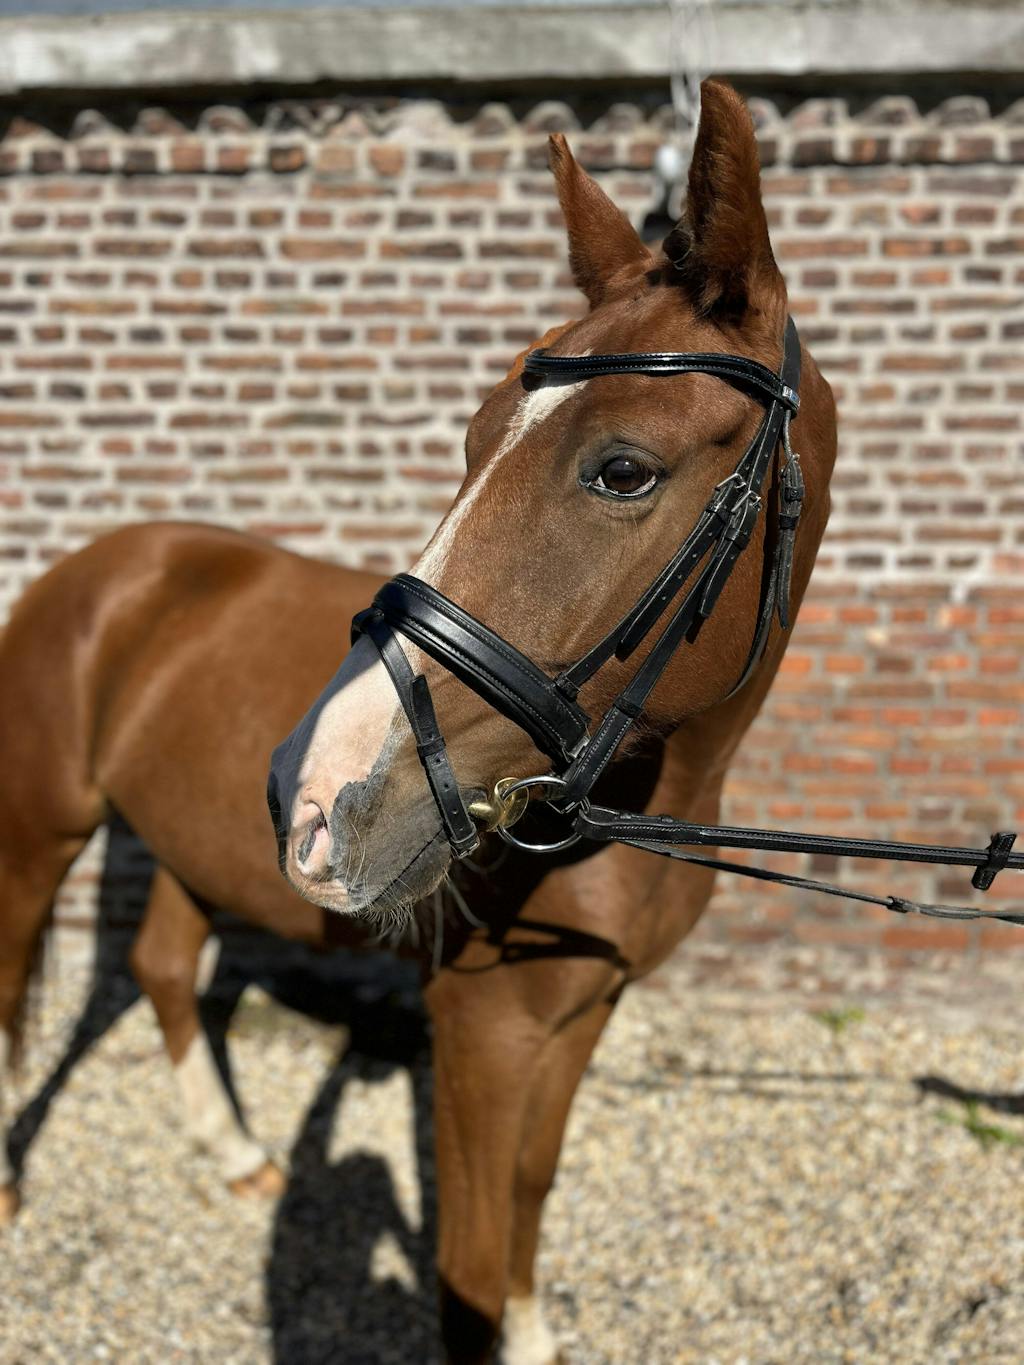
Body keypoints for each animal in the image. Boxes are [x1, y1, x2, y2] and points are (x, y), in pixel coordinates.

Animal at [0, 81, 835, 1365]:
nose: (316, 790)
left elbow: (531, 1197)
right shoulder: (481, 1030)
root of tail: (103, 567)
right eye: (473, 435)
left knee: (161, 966)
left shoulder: (577, 1015)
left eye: (624, 470)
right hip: (38, 831)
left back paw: (234, 1154)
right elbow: (468, 1264)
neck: (643, 800)